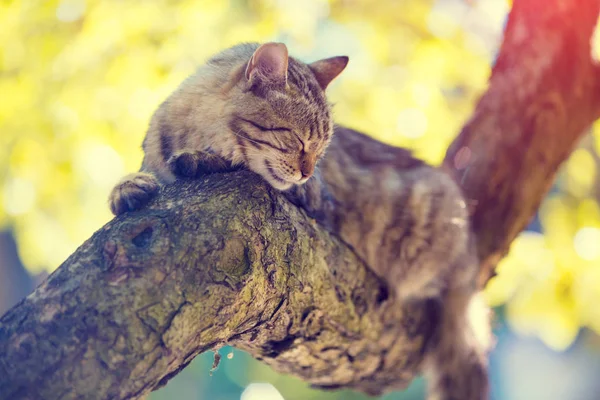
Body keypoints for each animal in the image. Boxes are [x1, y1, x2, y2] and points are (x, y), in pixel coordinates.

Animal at [109, 42, 492, 398]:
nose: (307, 172)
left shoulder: (315, 198)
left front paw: (198, 159)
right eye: (296, 139)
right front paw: (128, 187)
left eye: (320, 149)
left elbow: (222, 162)